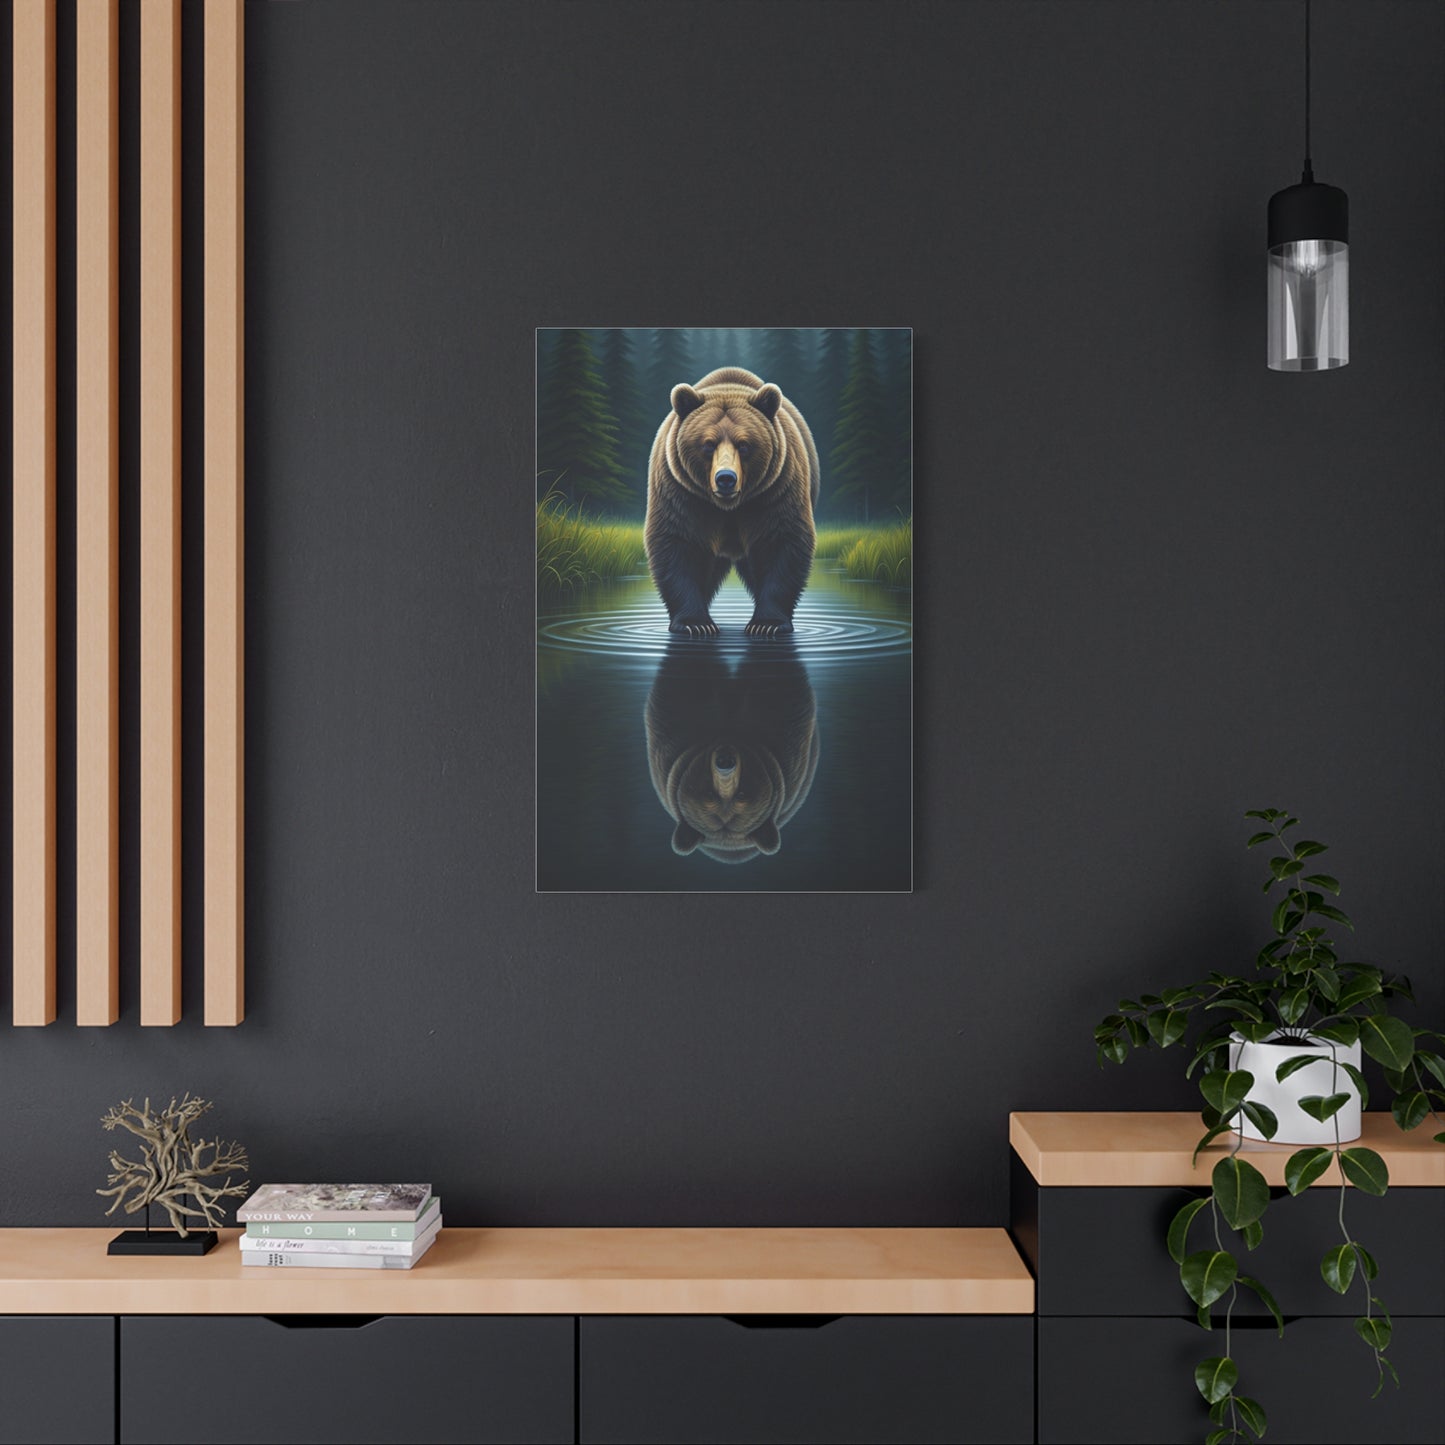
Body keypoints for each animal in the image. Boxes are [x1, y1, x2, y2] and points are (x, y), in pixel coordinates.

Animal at [644, 366, 820, 637]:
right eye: (708, 444)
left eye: (744, 444)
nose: (725, 478)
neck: (728, 507)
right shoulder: (682, 492)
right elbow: (677, 544)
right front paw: (695, 623)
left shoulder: (776, 490)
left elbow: (783, 542)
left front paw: (767, 624)